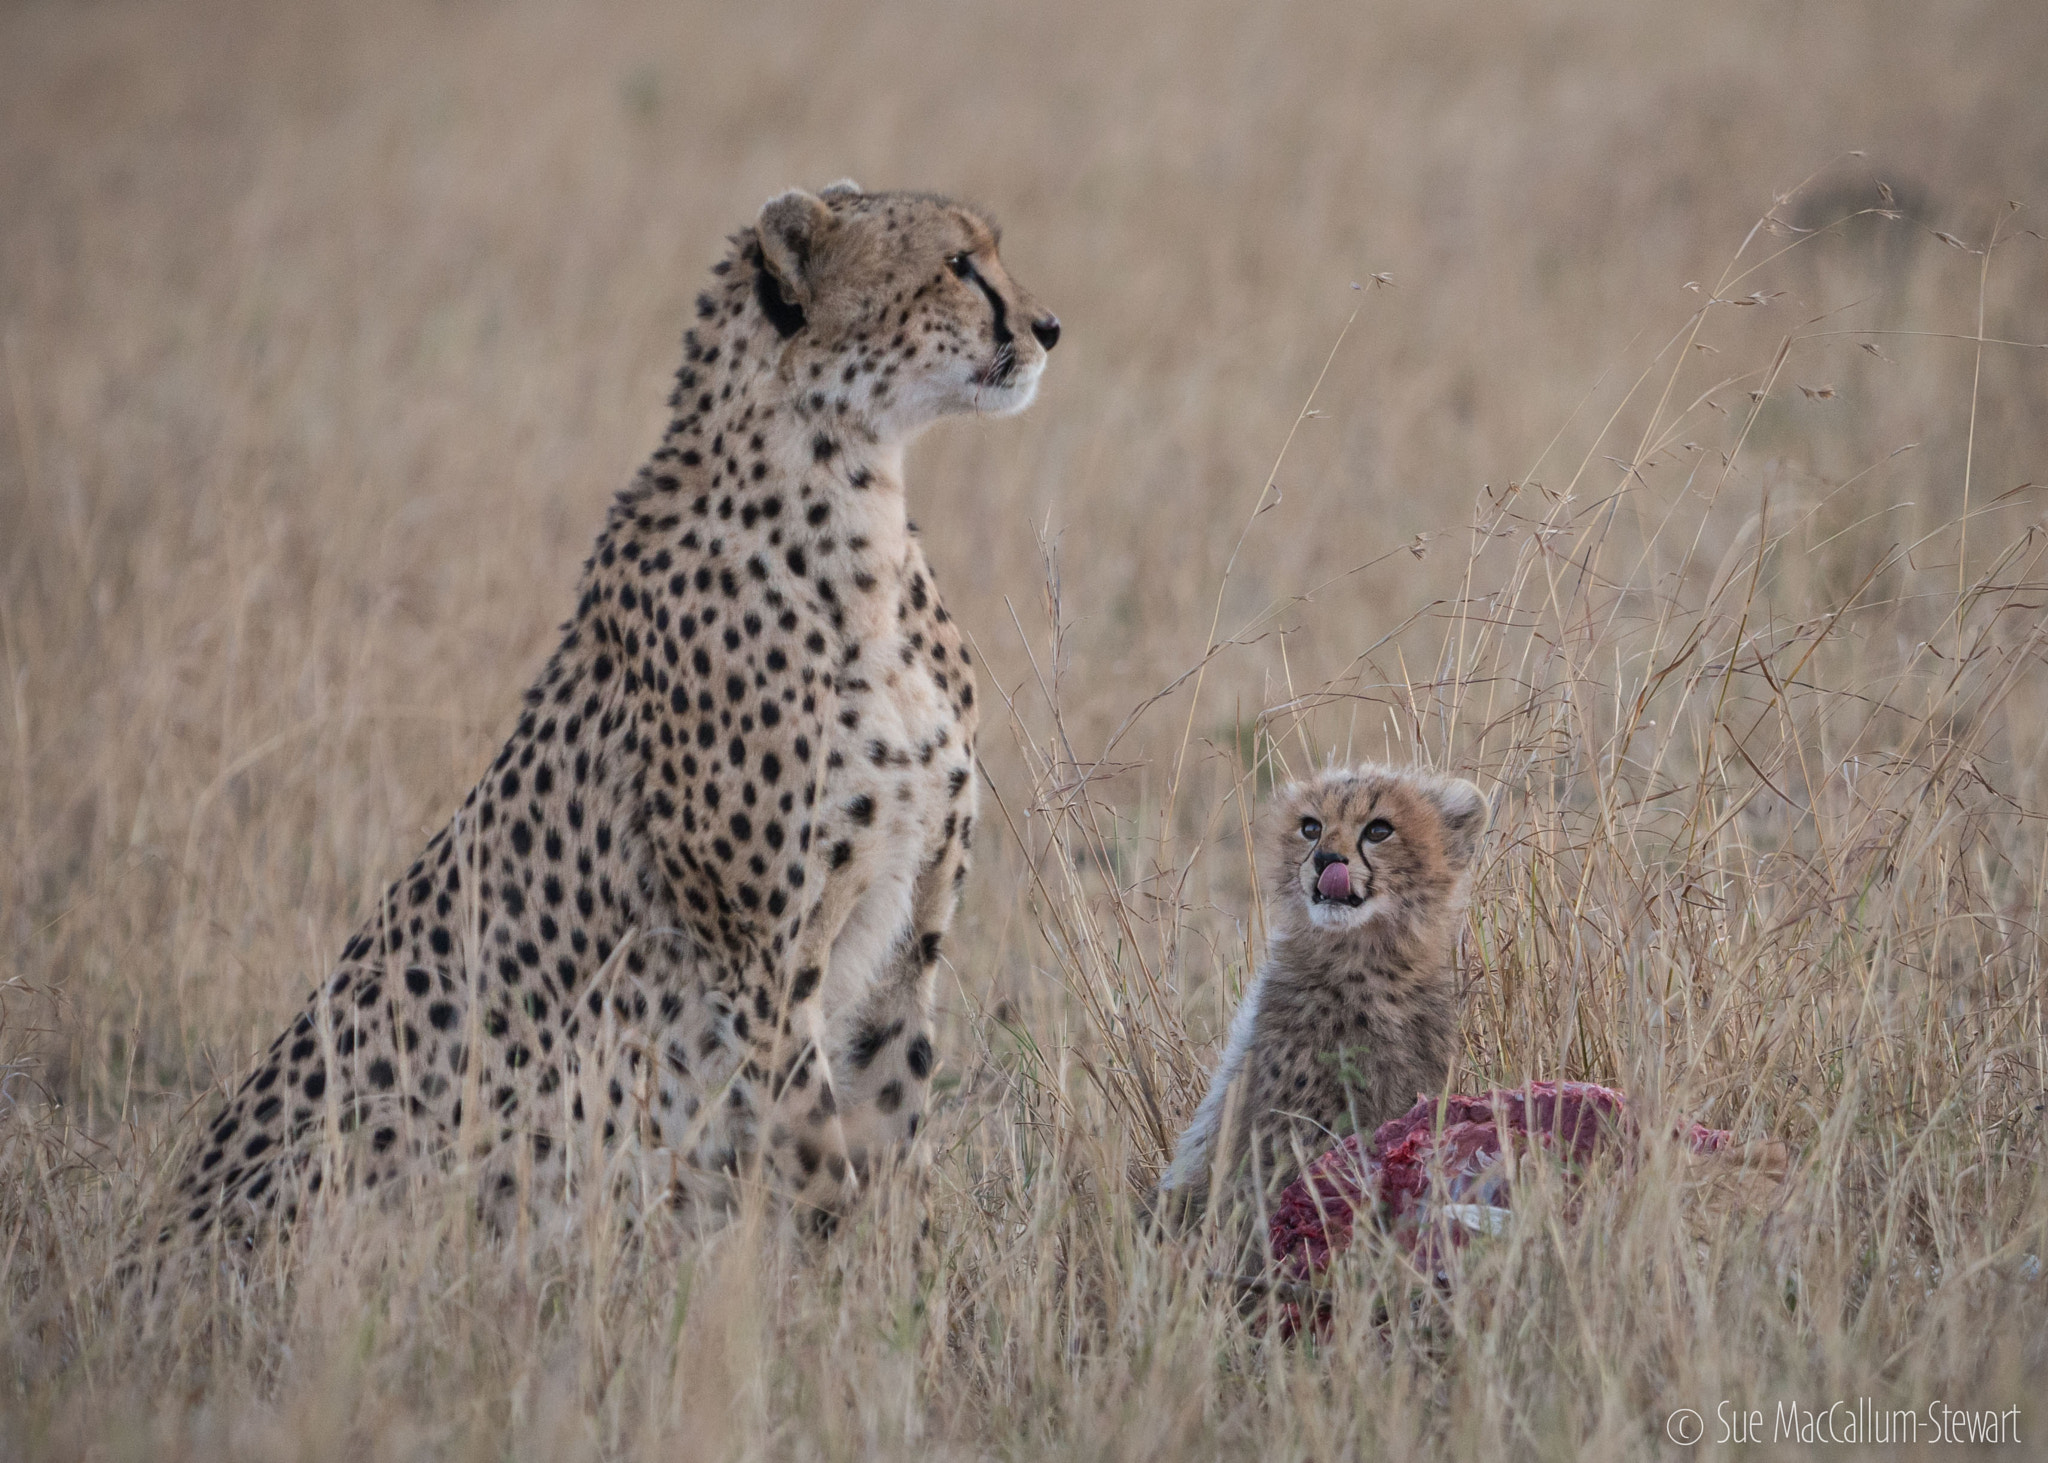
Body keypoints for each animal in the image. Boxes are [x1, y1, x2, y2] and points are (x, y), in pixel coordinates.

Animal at [153, 179, 1064, 1254]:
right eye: (958, 264)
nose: (1048, 326)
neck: (858, 511)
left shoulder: (906, 937)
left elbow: (894, 1129)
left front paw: (908, 1279)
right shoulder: (758, 965)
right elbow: (819, 1159)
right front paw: (840, 1279)